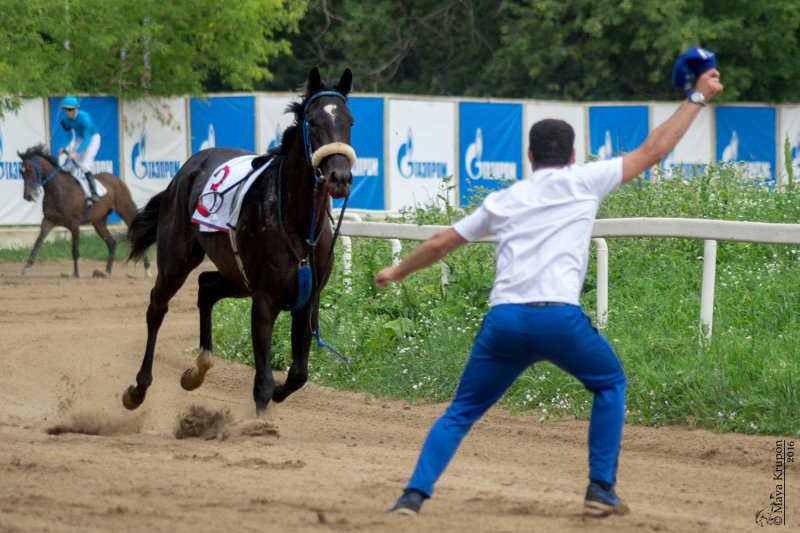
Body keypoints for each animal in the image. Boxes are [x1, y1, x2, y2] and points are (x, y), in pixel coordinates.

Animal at [19, 145, 152, 278]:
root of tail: (118, 180)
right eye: (21, 172)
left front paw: (76, 273)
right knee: (111, 243)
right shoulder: (48, 220)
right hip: (98, 221)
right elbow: (38, 242)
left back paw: (147, 270)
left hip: (125, 210)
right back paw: (106, 272)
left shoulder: (74, 224)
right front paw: (26, 267)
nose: (28, 196)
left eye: (30, 170)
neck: (59, 190)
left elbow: (75, 250)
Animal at [123, 67, 354, 416]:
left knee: (206, 287)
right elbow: (263, 381)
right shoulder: (265, 298)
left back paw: (197, 370)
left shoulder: (307, 297)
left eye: (350, 120)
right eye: (312, 121)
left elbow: (298, 374)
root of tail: (189, 167)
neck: (298, 224)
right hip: (177, 261)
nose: (339, 176)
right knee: (157, 307)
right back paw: (139, 388)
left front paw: (278, 395)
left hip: (237, 275)